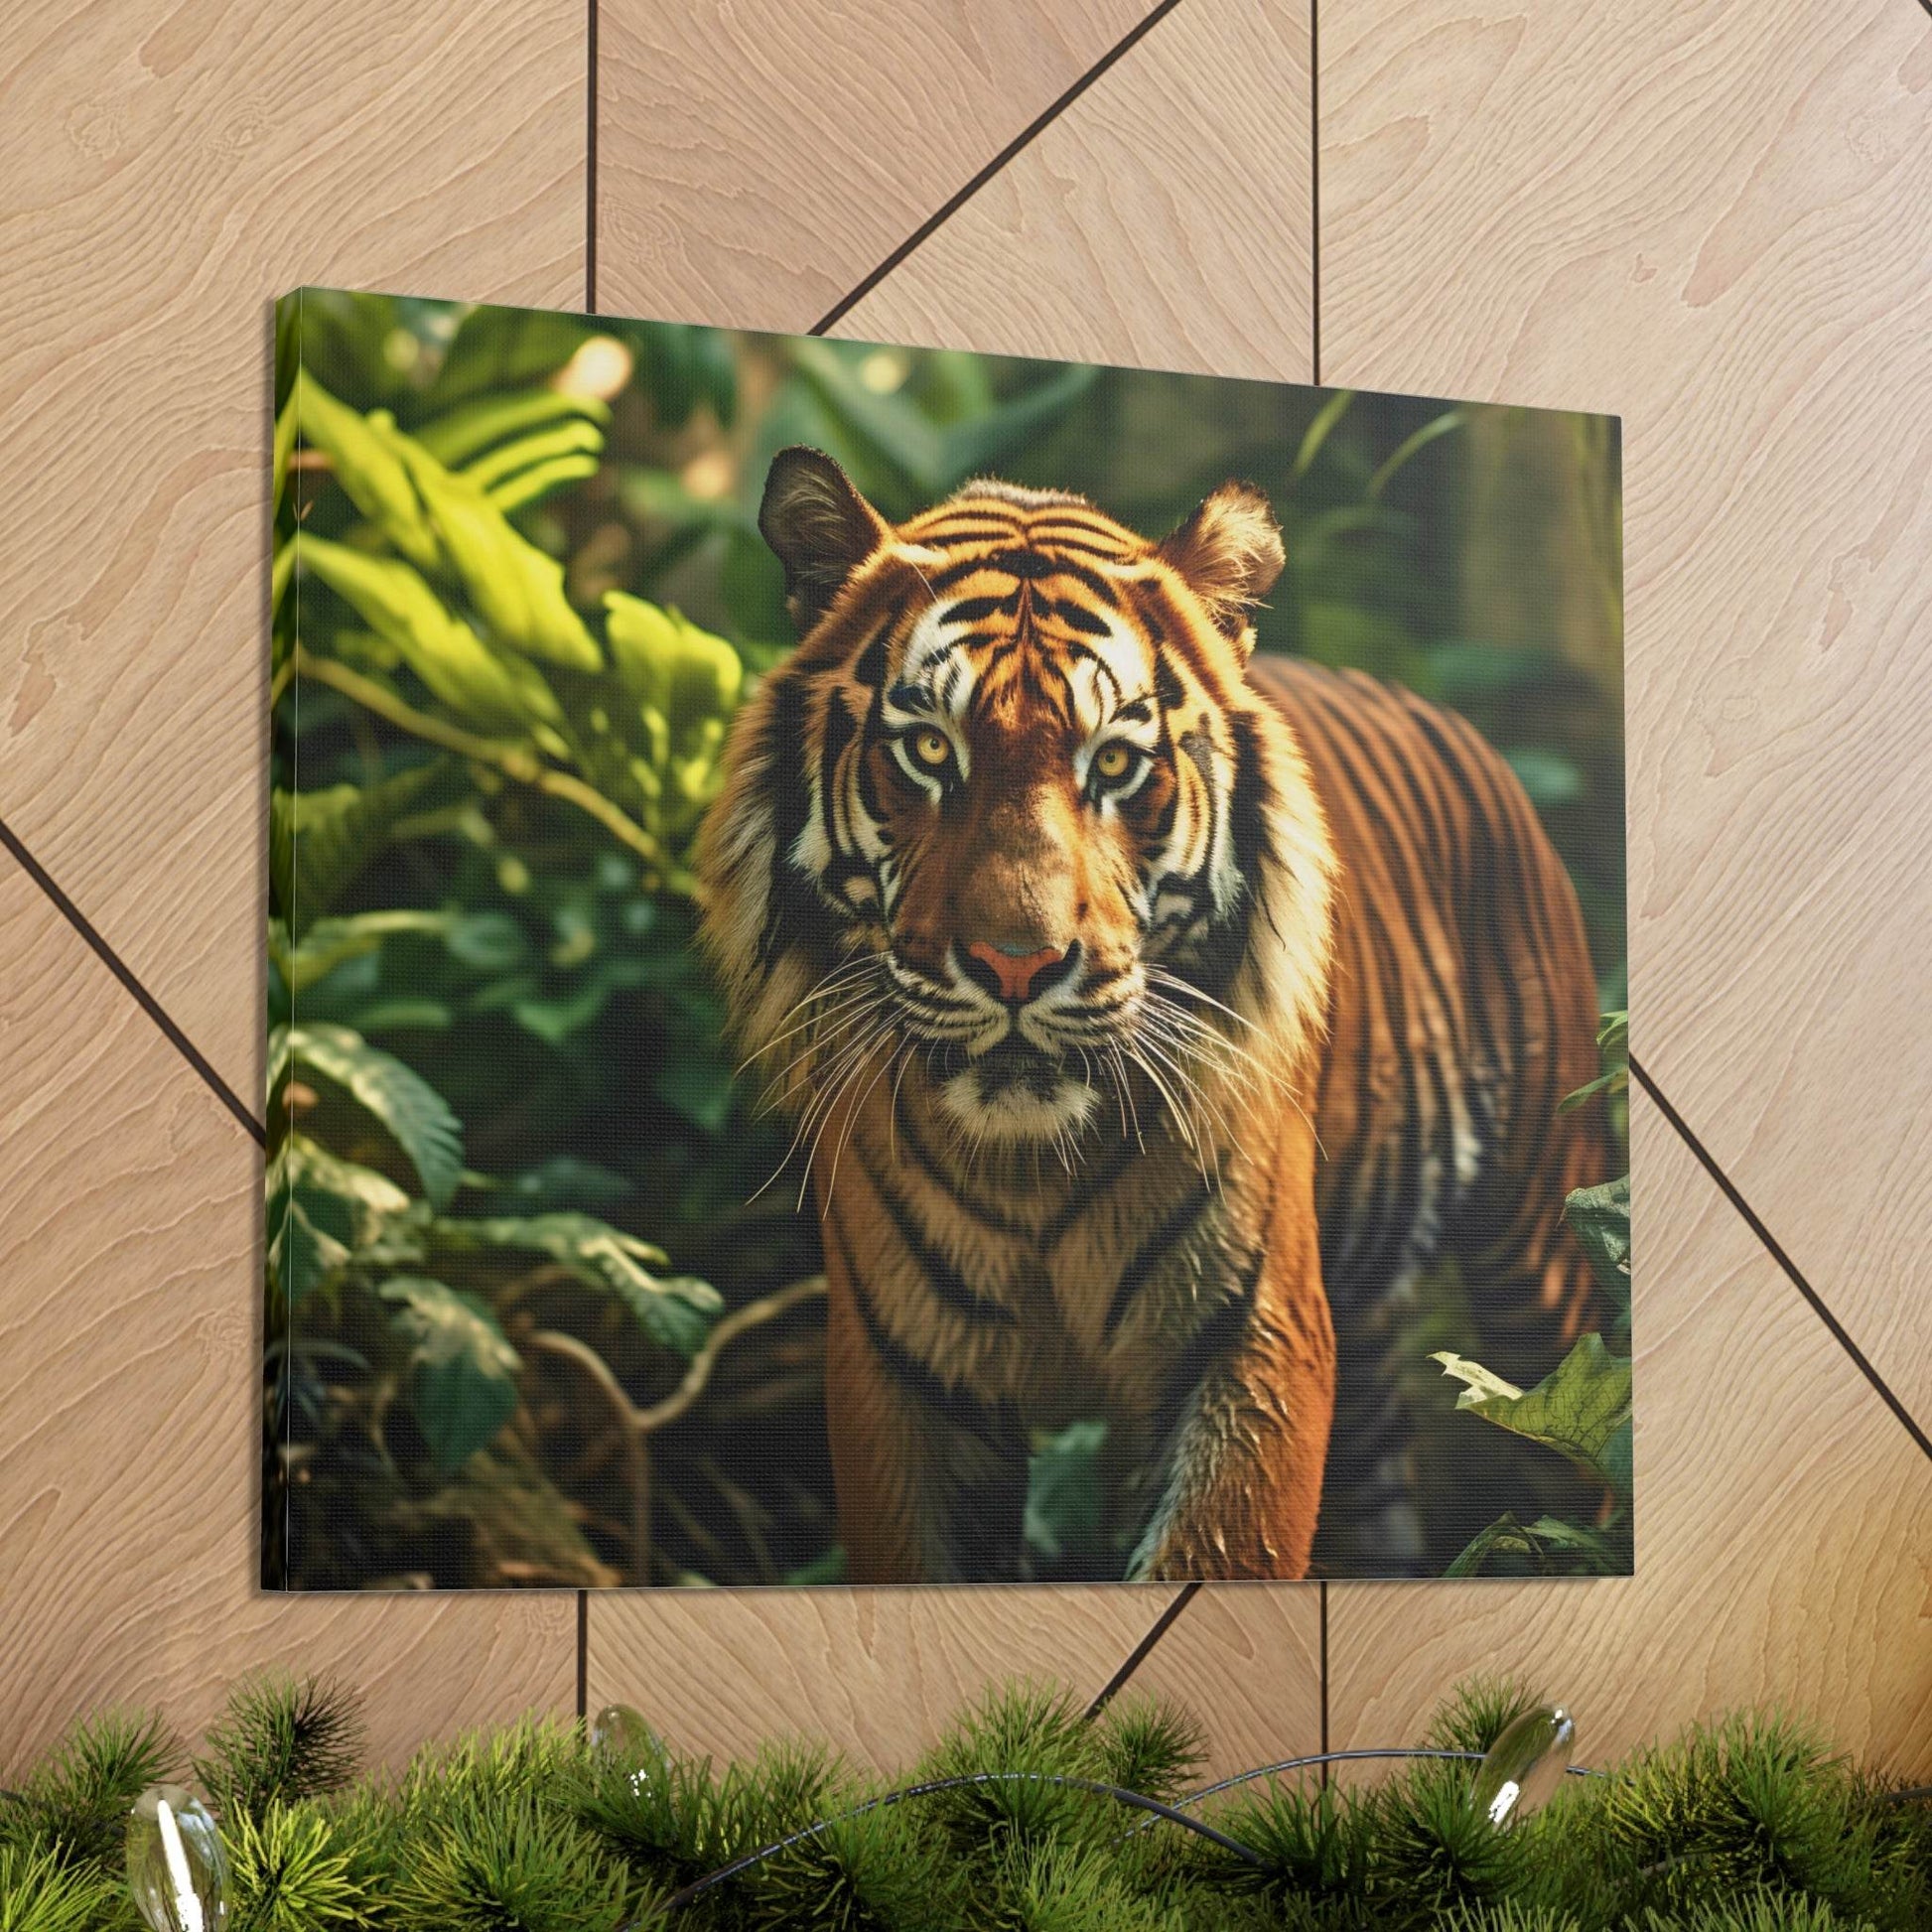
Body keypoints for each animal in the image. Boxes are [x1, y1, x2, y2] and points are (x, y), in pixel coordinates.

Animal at [695, 445, 1613, 1583]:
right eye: (928, 752)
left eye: (1115, 763)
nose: (1016, 964)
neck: (1033, 1171)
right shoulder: (899, 1374)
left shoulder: (1250, 1339)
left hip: (1543, 1251)